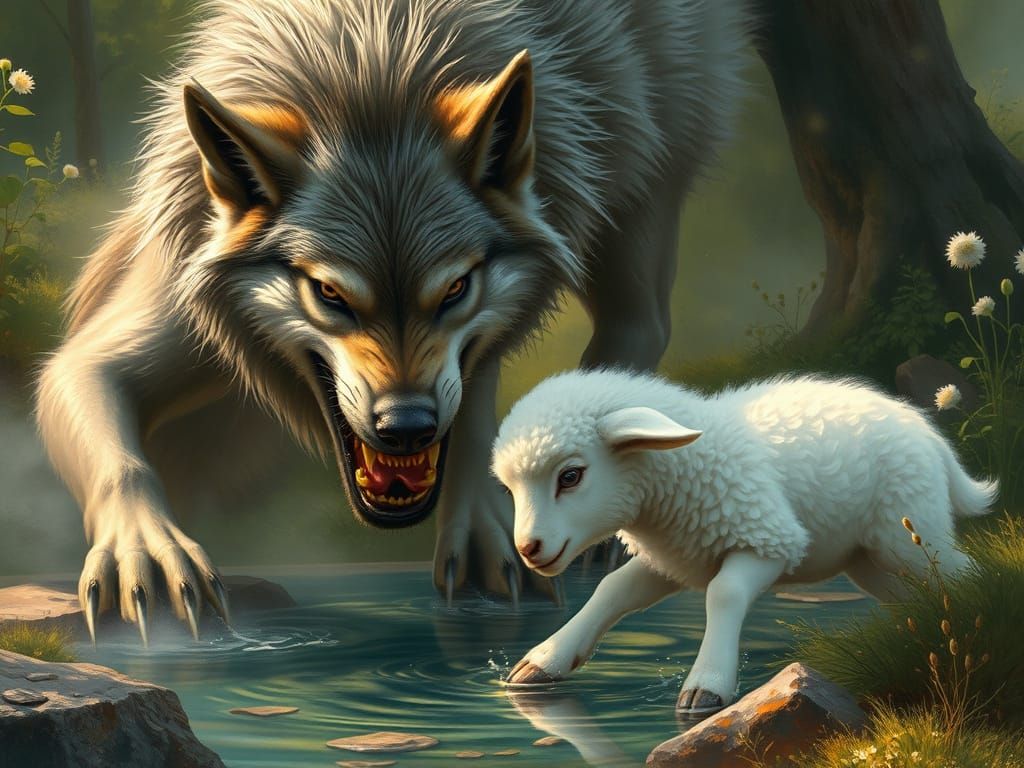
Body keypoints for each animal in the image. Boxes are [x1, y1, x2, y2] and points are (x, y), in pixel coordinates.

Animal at [36, 0, 748, 642]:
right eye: (330, 293)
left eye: (455, 288)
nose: (406, 426)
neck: (373, 62)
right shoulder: (166, 322)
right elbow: (103, 423)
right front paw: (148, 552)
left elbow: (479, 406)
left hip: (644, 164)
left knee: (641, 321)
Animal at [491, 369, 996, 716]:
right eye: (509, 489)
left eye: (570, 476)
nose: (529, 549)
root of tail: (926, 431)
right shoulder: (675, 557)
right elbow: (611, 590)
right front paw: (543, 662)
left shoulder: (769, 540)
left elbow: (725, 593)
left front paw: (706, 685)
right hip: (868, 559)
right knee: (915, 594)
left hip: (908, 531)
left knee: (963, 572)